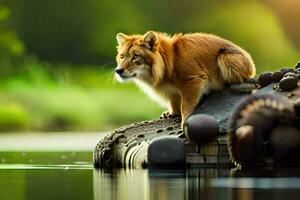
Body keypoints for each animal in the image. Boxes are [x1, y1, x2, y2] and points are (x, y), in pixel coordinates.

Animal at [114, 30, 255, 126]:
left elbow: (186, 106)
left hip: (225, 58)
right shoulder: (171, 92)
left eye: (136, 56)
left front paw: (184, 122)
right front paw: (171, 113)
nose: (118, 70)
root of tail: (251, 64)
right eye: (122, 56)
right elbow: (174, 102)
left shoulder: (194, 80)